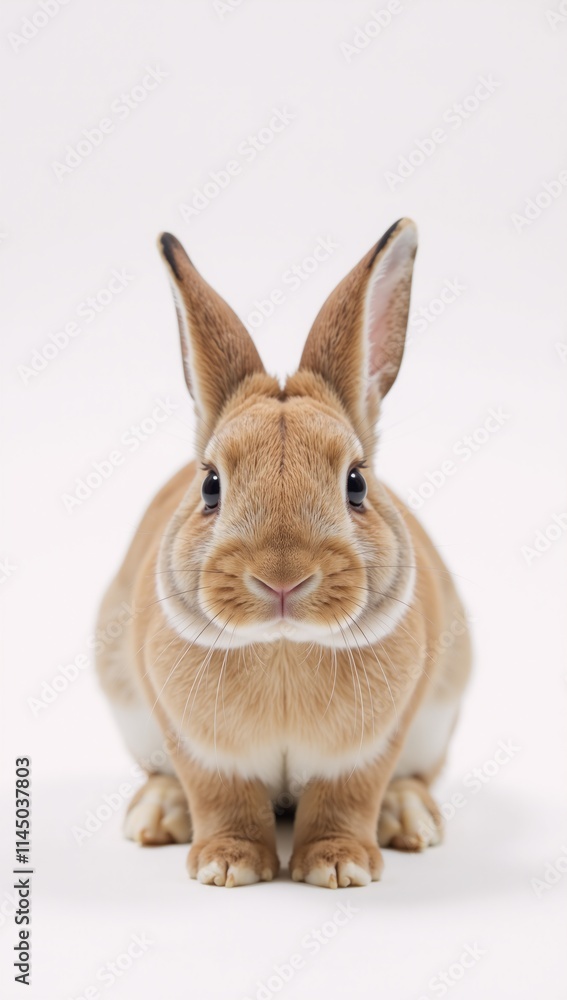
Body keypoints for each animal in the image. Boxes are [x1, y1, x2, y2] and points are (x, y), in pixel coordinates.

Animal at [96, 218, 471, 888]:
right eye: (210, 485)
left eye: (356, 483)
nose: (281, 578)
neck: (284, 647)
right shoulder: (196, 747)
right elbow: (222, 799)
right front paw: (226, 865)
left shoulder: (376, 746)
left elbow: (348, 799)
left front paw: (341, 867)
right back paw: (158, 814)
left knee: (413, 779)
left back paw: (407, 819)